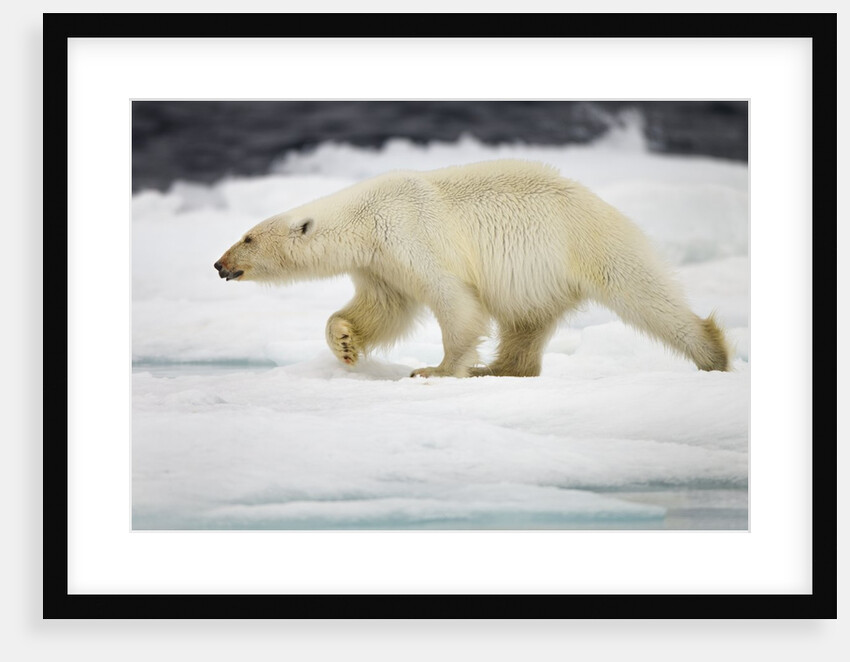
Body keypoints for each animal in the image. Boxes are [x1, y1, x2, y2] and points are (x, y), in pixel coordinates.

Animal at [214, 159, 731, 377]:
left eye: (247, 238)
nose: (219, 265)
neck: (366, 216)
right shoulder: (379, 263)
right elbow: (385, 308)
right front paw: (344, 343)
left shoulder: (411, 232)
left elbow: (452, 299)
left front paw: (436, 370)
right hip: (538, 276)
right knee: (526, 322)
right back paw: (501, 369)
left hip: (588, 242)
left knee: (646, 295)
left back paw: (713, 355)